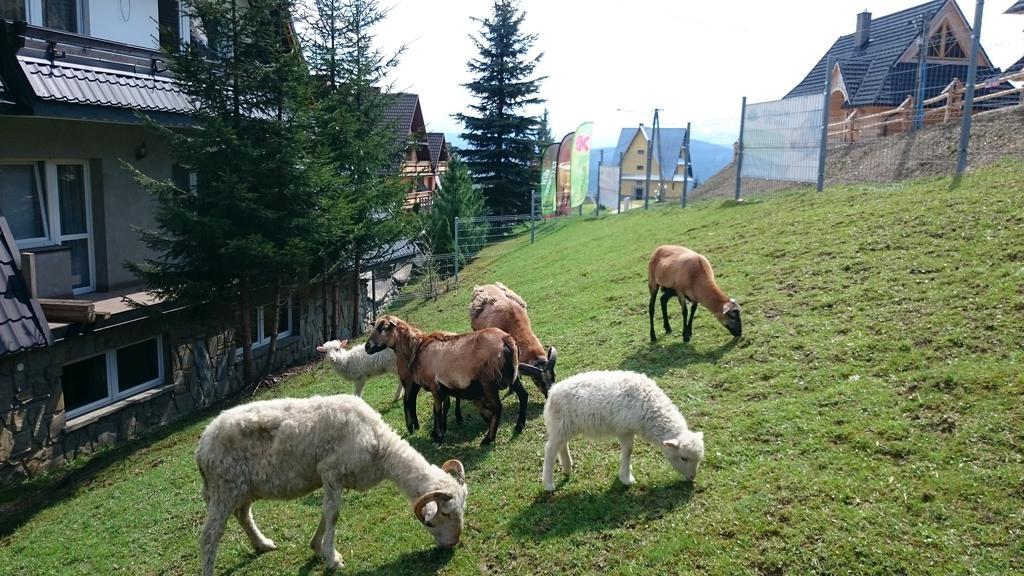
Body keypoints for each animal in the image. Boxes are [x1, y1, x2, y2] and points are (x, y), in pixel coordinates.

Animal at [195, 393, 468, 573]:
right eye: (445, 513)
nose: (453, 543)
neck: (381, 449)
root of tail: (202, 444)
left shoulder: (333, 479)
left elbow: (326, 514)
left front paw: (317, 547)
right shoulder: (331, 471)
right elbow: (333, 515)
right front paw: (333, 558)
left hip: (244, 488)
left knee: (243, 515)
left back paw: (262, 544)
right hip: (224, 488)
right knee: (209, 536)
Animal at [366, 313, 528, 444]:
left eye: (383, 327)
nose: (367, 347)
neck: (417, 347)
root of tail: (506, 339)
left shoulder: (434, 385)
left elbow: (438, 410)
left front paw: (439, 437)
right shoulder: (441, 388)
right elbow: (440, 408)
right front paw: (438, 432)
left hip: (489, 382)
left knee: (498, 407)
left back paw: (488, 439)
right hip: (511, 376)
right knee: (523, 395)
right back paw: (519, 426)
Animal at [544, 368, 704, 491]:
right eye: (684, 458)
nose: (692, 478)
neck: (650, 405)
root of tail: (552, 392)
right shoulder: (625, 429)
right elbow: (628, 451)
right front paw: (627, 478)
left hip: (565, 427)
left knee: (562, 445)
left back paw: (567, 468)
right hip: (561, 425)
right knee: (550, 449)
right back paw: (548, 484)